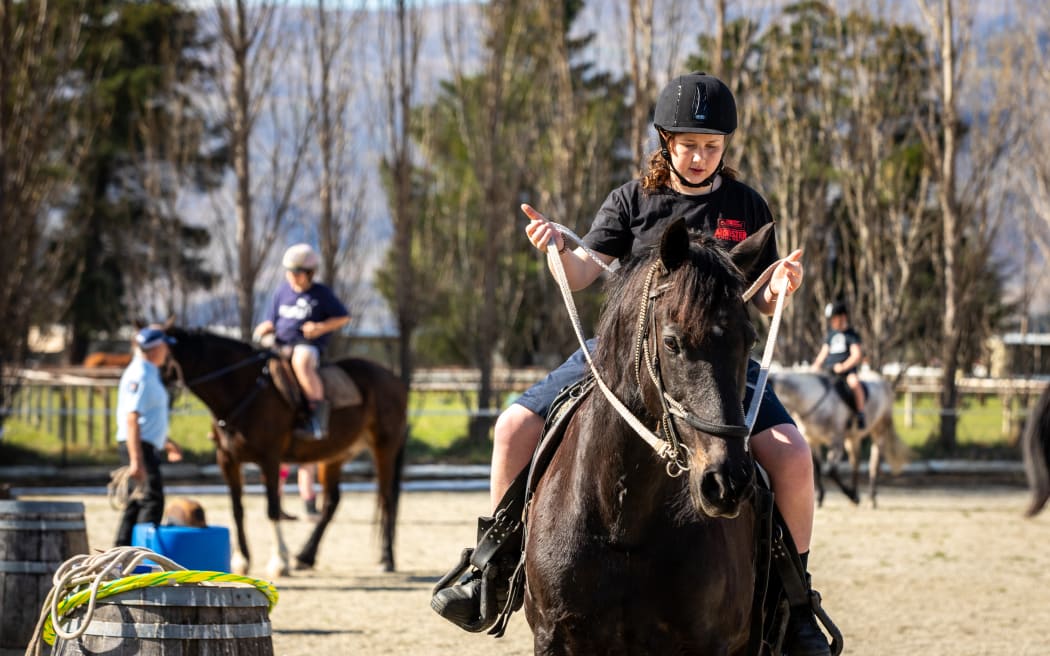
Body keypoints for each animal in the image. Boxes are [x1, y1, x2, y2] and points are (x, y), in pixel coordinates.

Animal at [164, 325, 409, 575]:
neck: (245, 389)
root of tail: (394, 379)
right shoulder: (227, 460)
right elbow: (237, 509)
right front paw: (242, 560)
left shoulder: (270, 459)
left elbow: (272, 509)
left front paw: (279, 561)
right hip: (335, 455)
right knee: (332, 503)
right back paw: (306, 556)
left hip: (384, 448)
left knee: (387, 499)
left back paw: (386, 559)